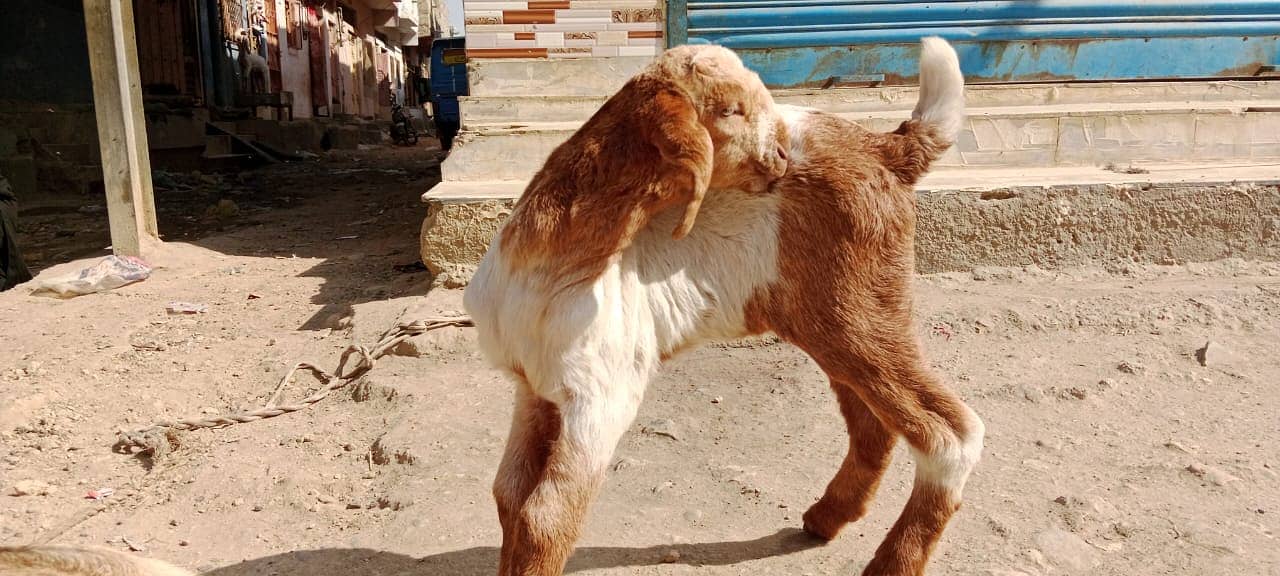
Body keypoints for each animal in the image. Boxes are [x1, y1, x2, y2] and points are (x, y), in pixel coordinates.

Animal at [468, 38, 977, 573]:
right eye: (731, 110)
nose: (780, 155)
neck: (554, 255)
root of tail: (887, 147)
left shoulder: (600, 395)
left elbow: (545, 519)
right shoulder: (534, 386)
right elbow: (509, 494)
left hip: (860, 313)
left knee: (951, 435)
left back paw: (890, 558)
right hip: (836, 320)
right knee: (874, 425)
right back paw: (826, 516)